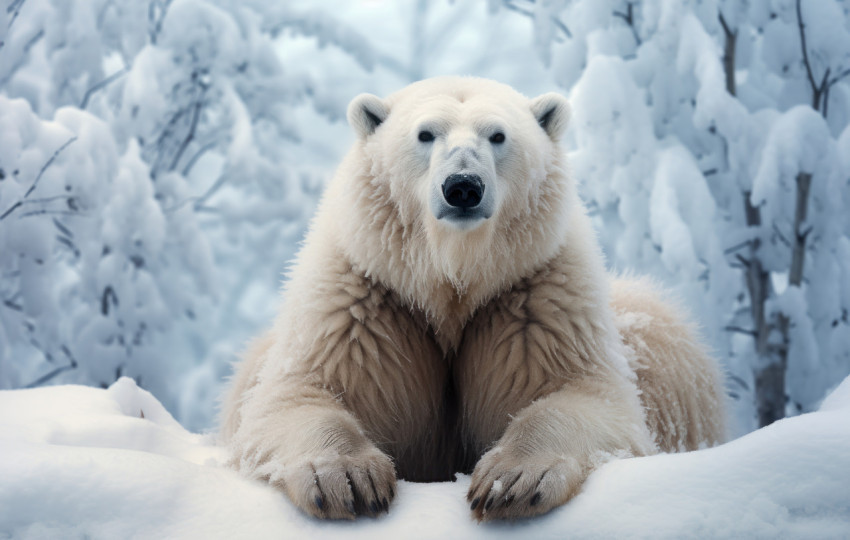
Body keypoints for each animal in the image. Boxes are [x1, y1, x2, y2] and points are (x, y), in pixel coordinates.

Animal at [219, 75, 724, 520]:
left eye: (498, 135)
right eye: (425, 133)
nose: (463, 186)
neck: (453, 281)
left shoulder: (534, 300)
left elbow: (584, 394)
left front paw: (511, 481)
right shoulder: (365, 301)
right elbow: (301, 393)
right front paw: (347, 480)